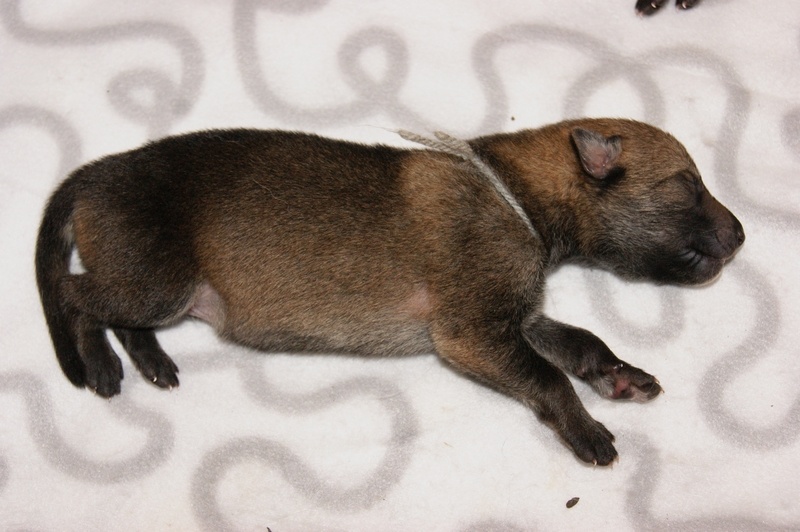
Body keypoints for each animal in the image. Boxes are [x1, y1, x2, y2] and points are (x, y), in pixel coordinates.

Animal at [35, 118, 744, 465]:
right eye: (687, 185)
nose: (741, 234)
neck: (517, 193)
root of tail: (90, 176)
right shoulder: (471, 331)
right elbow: (547, 378)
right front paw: (586, 428)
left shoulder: (511, 317)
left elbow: (578, 342)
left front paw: (619, 375)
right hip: (154, 277)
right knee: (74, 292)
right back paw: (99, 362)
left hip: (160, 285)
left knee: (116, 310)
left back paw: (152, 360)